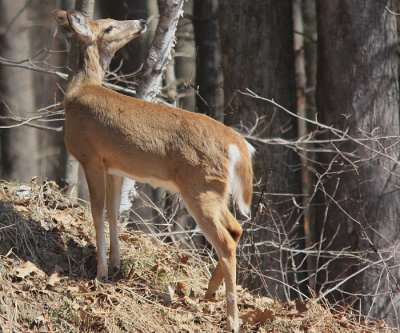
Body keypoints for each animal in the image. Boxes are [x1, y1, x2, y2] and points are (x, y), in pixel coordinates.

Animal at [52, 9, 253, 330]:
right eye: (110, 26)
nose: (142, 22)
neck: (79, 91)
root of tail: (237, 144)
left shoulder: (90, 156)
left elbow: (96, 211)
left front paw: (100, 271)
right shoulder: (114, 166)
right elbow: (113, 213)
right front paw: (116, 265)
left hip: (200, 186)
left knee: (225, 240)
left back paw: (232, 319)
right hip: (214, 190)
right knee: (236, 229)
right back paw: (209, 292)